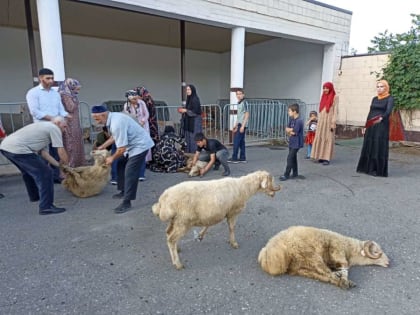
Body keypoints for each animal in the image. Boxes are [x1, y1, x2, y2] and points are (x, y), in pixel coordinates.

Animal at [260, 226, 390, 290]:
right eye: (377, 251)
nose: (389, 262)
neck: (349, 247)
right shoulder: (337, 251)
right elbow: (344, 269)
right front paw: (343, 278)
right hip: (310, 255)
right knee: (326, 272)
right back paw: (344, 283)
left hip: (300, 267)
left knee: (322, 276)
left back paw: (341, 282)